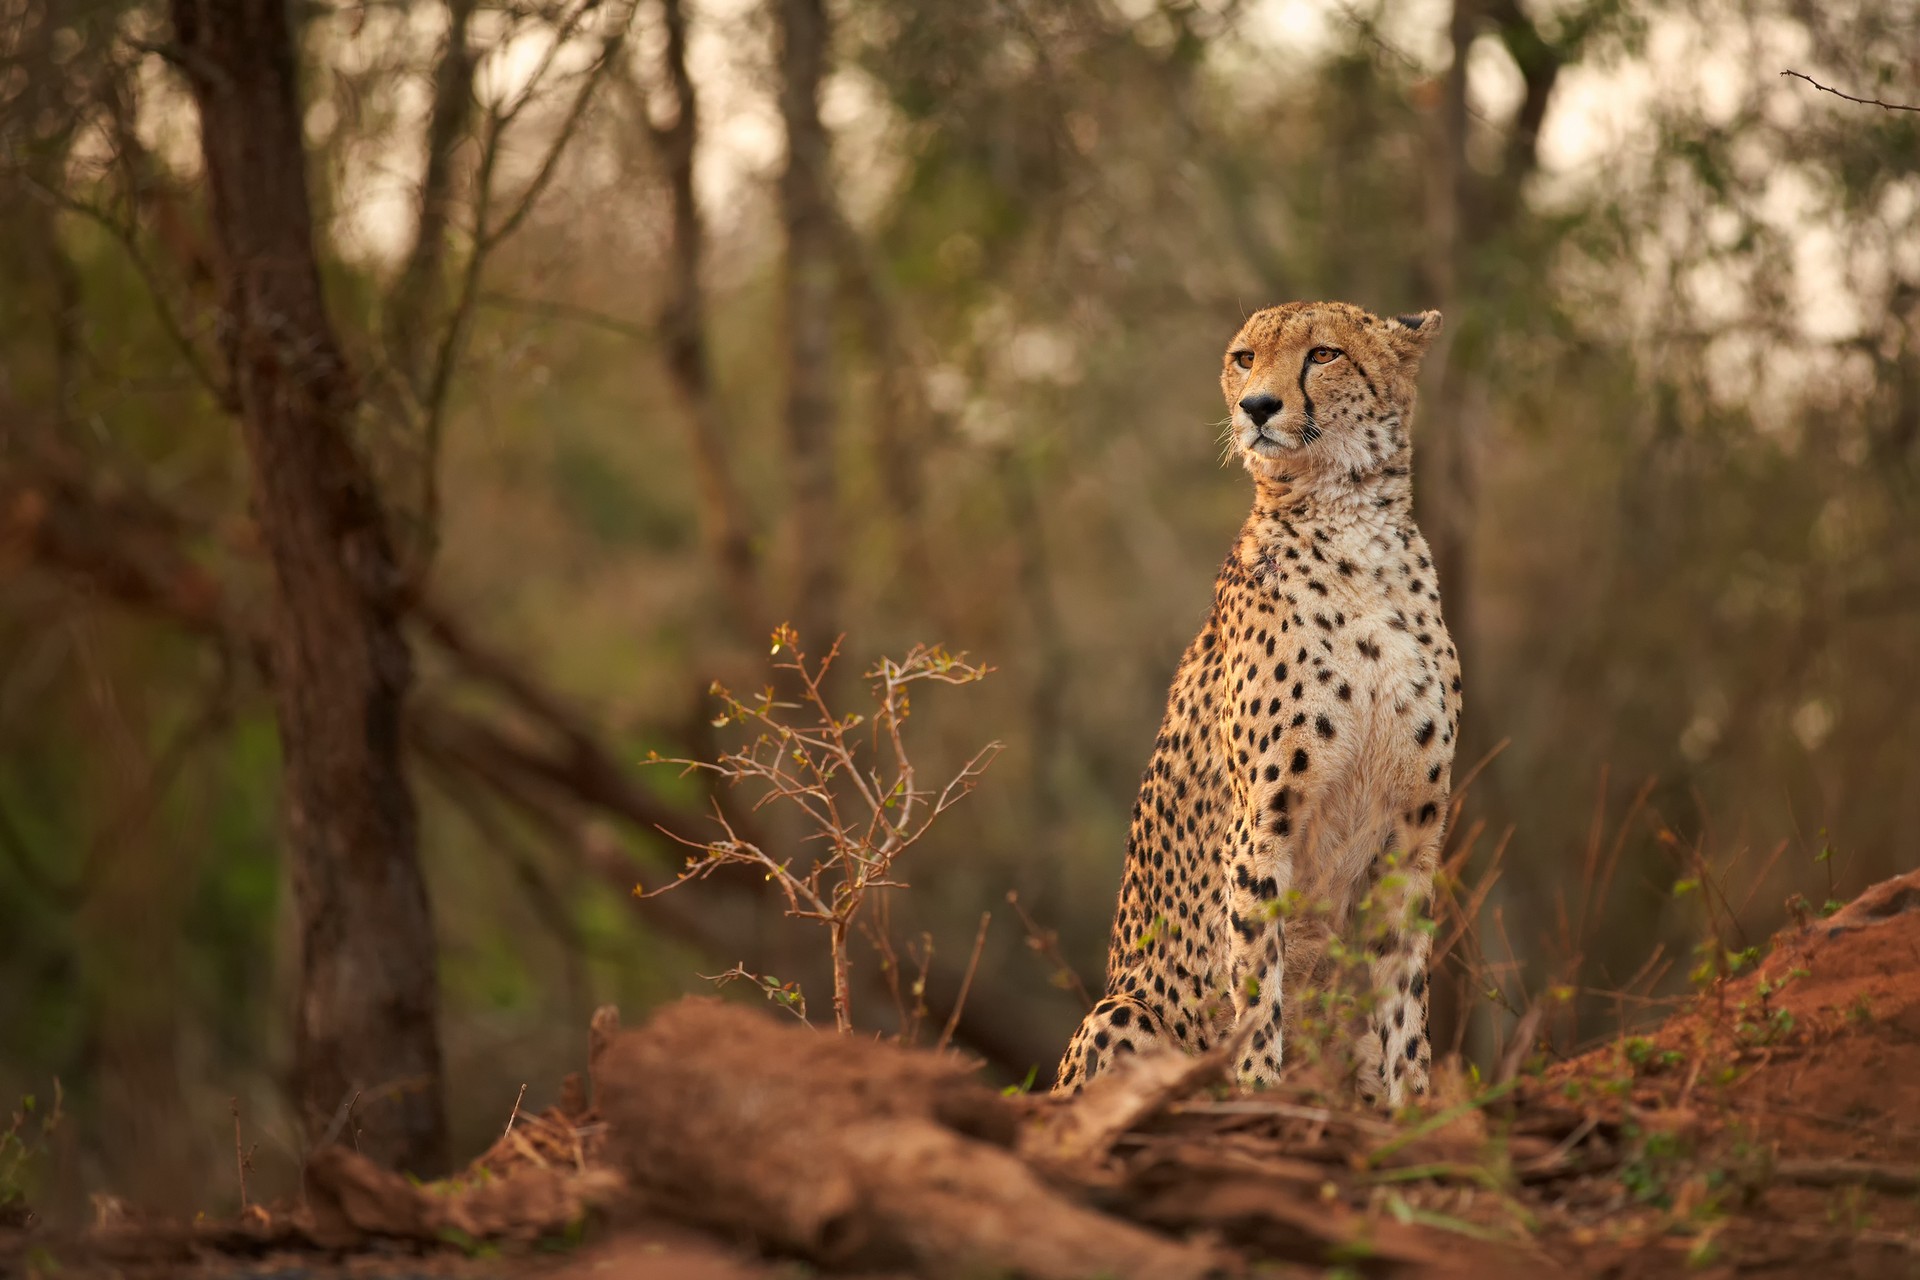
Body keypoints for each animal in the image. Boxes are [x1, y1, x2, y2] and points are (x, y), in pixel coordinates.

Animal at [1054, 300, 1460, 1108]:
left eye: (1323, 354)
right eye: (1244, 358)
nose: (1258, 407)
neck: (1350, 520)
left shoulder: (1414, 831)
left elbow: (1405, 1003)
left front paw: (1413, 1108)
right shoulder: (1262, 823)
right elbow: (1255, 985)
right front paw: (1257, 1093)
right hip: (1122, 1008)